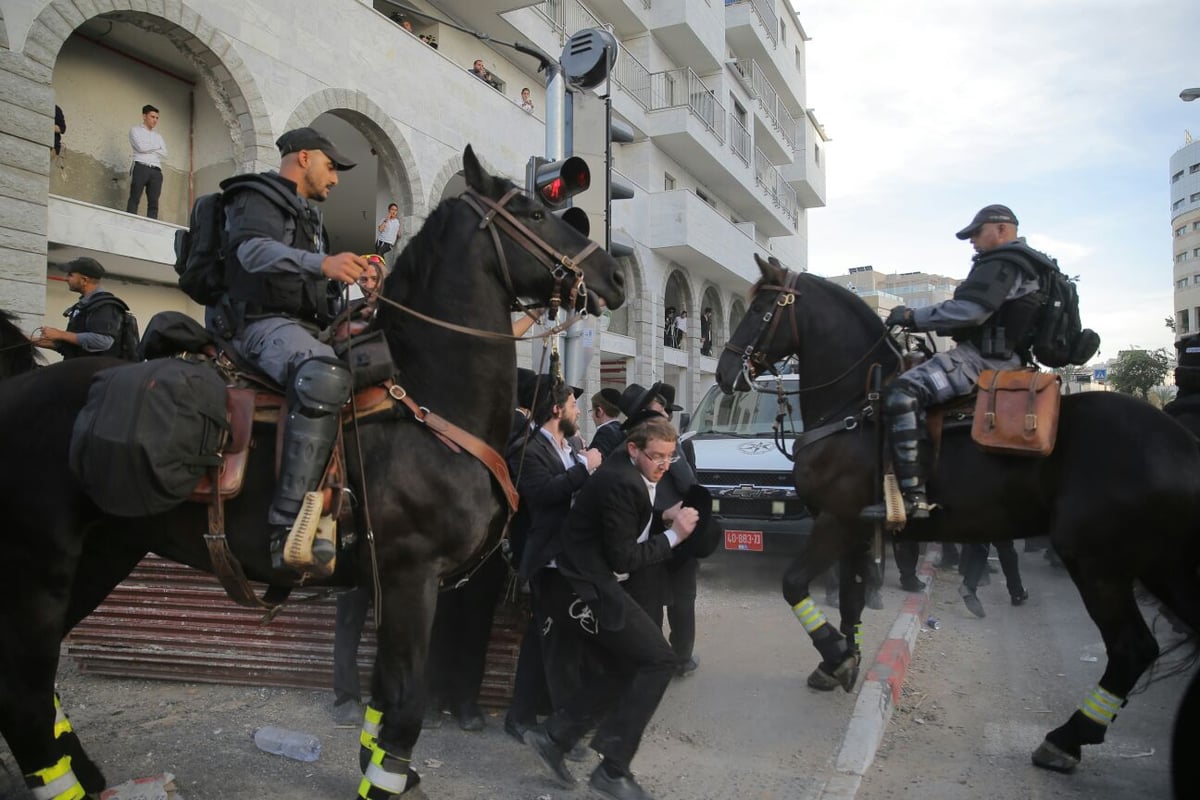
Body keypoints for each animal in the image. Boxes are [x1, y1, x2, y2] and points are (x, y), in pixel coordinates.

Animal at [2, 146, 628, 796]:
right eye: (535, 212)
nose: (615, 277)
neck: (429, 399)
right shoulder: (411, 576)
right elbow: (406, 700)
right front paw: (385, 780)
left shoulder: (386, 581)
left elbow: (384, 694)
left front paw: (386, 769)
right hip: (39, 568)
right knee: (22, 692)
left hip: (106, 551)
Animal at [715, 256, 1200, 777]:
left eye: (761, 308)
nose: (724, 372)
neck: (855, 409)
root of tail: (1180, 441)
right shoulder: (856, 528)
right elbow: (850, 597)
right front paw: (842, 658)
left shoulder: (836, 522)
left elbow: (794, 585)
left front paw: (836, 654)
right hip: (1160, 564)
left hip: (1098, 563)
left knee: (1132, 648)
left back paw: (1066, 739)